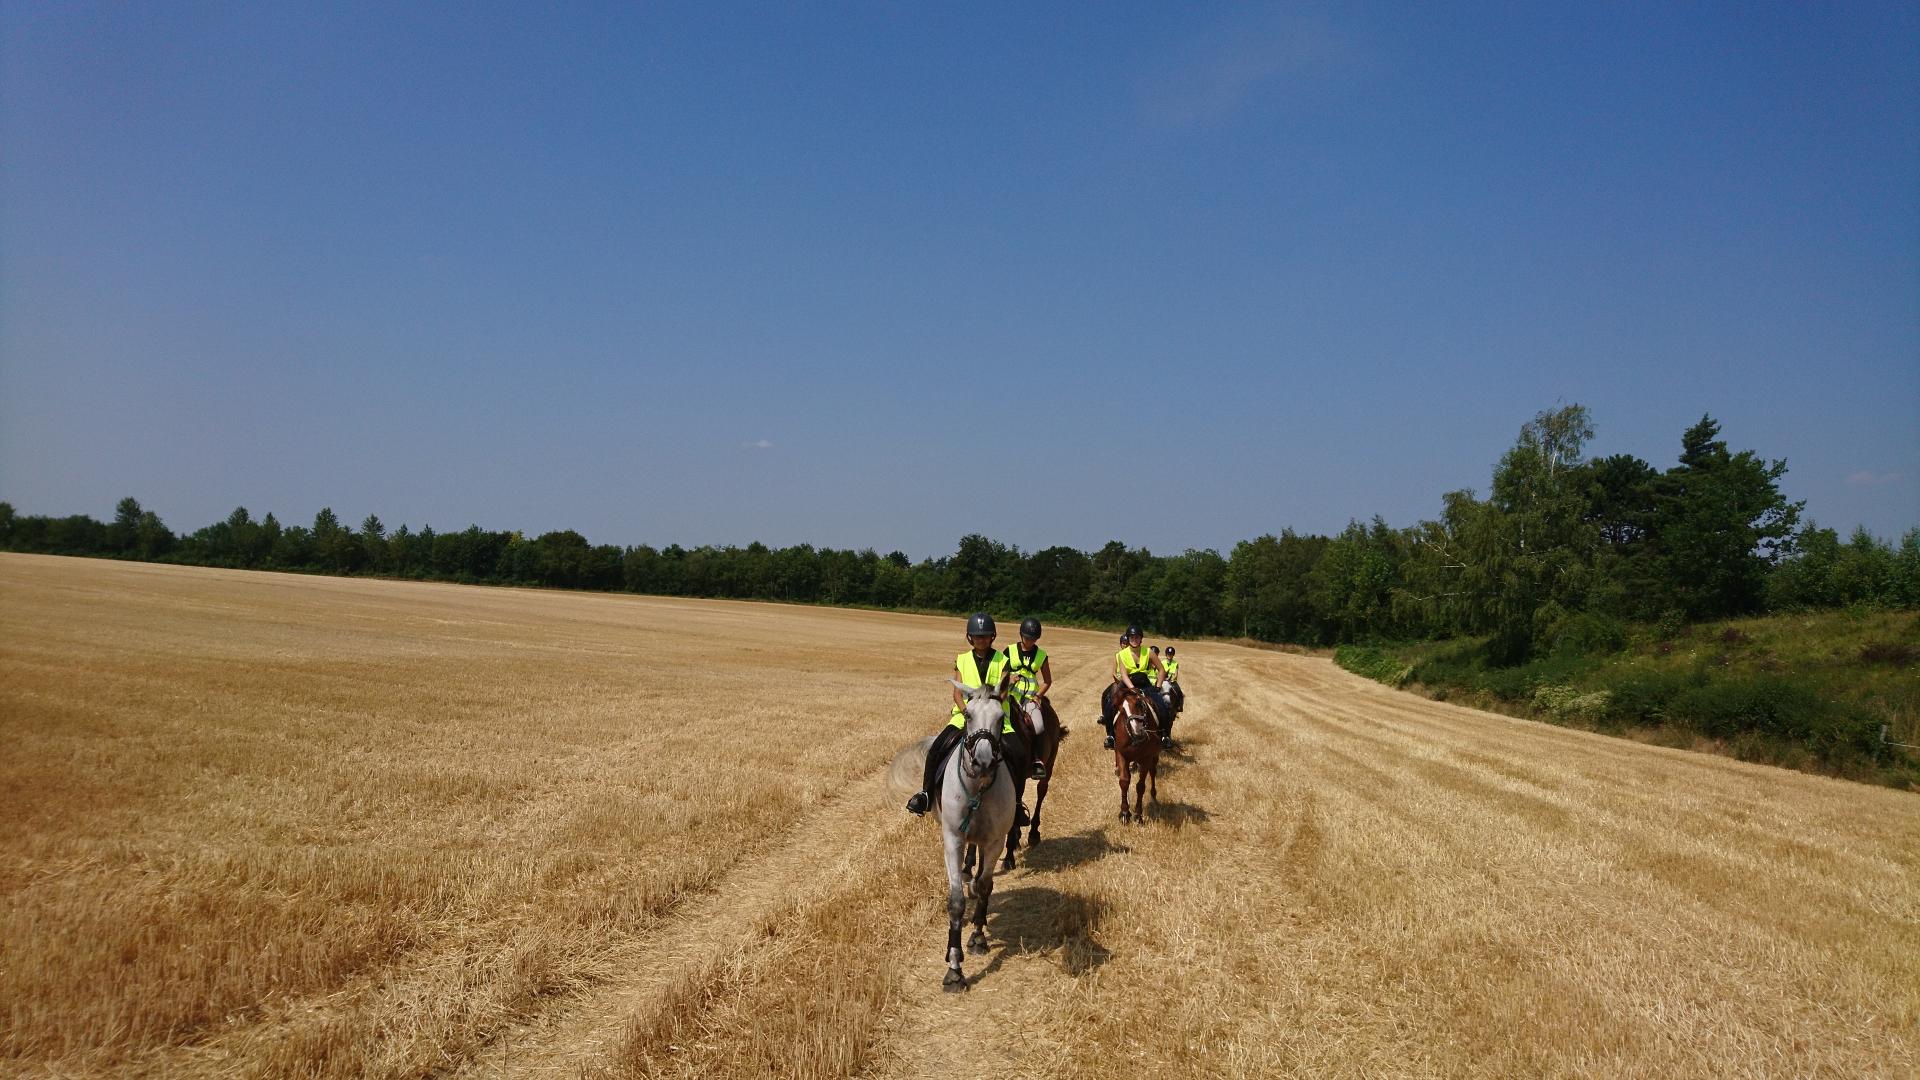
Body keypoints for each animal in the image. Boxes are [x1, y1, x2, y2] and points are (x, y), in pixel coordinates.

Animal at [933, 676, 1013, 991]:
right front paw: (954, 969)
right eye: (967, 715)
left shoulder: (994, 842)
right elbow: (956, 902)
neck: (978, 789)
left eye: (1001, 717)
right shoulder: (952, 841)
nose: (983, 762)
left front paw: (978, 937)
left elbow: (985, 885)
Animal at [1113, 684, 1152, 818]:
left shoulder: (1147, 758)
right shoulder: (1121, 754)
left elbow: (1140, 786)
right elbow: (1124, 781)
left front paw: (1138, 813)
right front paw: (1124, 812)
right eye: (1122, 710)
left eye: (1138, 704)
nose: (1137, 731)